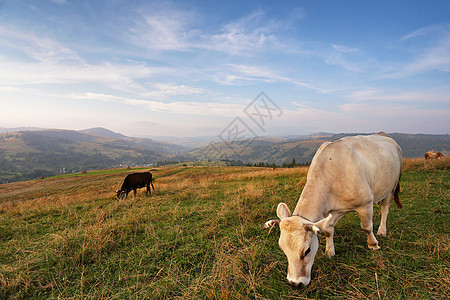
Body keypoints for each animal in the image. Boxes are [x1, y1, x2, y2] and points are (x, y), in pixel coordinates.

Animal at [262, 133, 402, 286]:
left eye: (307, 250)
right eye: (282, 249)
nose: (295, 283)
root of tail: (385, 135)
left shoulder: (365, 203)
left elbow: (366, 227)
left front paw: (373, 245)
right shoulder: (329, 212)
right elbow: (328, 231)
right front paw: (329, 252)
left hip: (391, 187)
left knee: (385, 210)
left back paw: (382, 231)